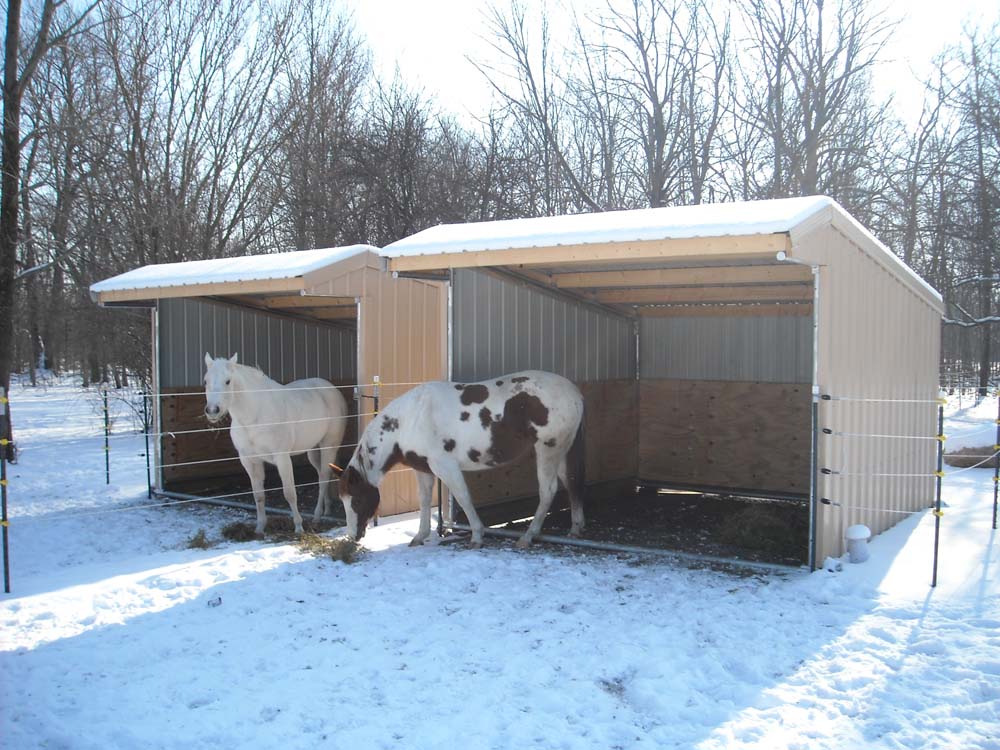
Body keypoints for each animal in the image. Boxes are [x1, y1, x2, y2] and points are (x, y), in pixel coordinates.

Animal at [201, 352, 350, 536]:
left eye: (228, 381)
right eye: (205, 381)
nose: (212, 411)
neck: (254, 416)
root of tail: (331, 389)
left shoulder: (282, 458)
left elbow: (289, 493)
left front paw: (298, 527)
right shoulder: (249, 460)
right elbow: (258, 495)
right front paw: (259, 528)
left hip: (329, 445)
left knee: (322, 479)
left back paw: (316, 517)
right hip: (314, 450)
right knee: (324, 475)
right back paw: (326, 509)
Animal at [338, 374, 584, 548]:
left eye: (356, 501)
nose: (353, 536)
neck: (410, 419)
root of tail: (576, 393)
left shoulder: (445, 467)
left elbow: (463, 498)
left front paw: (477, 536)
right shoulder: (423, 469)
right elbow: (424, 501)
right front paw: (420, 536)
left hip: (548, 450)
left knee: (548, 491)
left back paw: (528, 537)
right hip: (561, 451)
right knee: (571, 482)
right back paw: (575, 528)